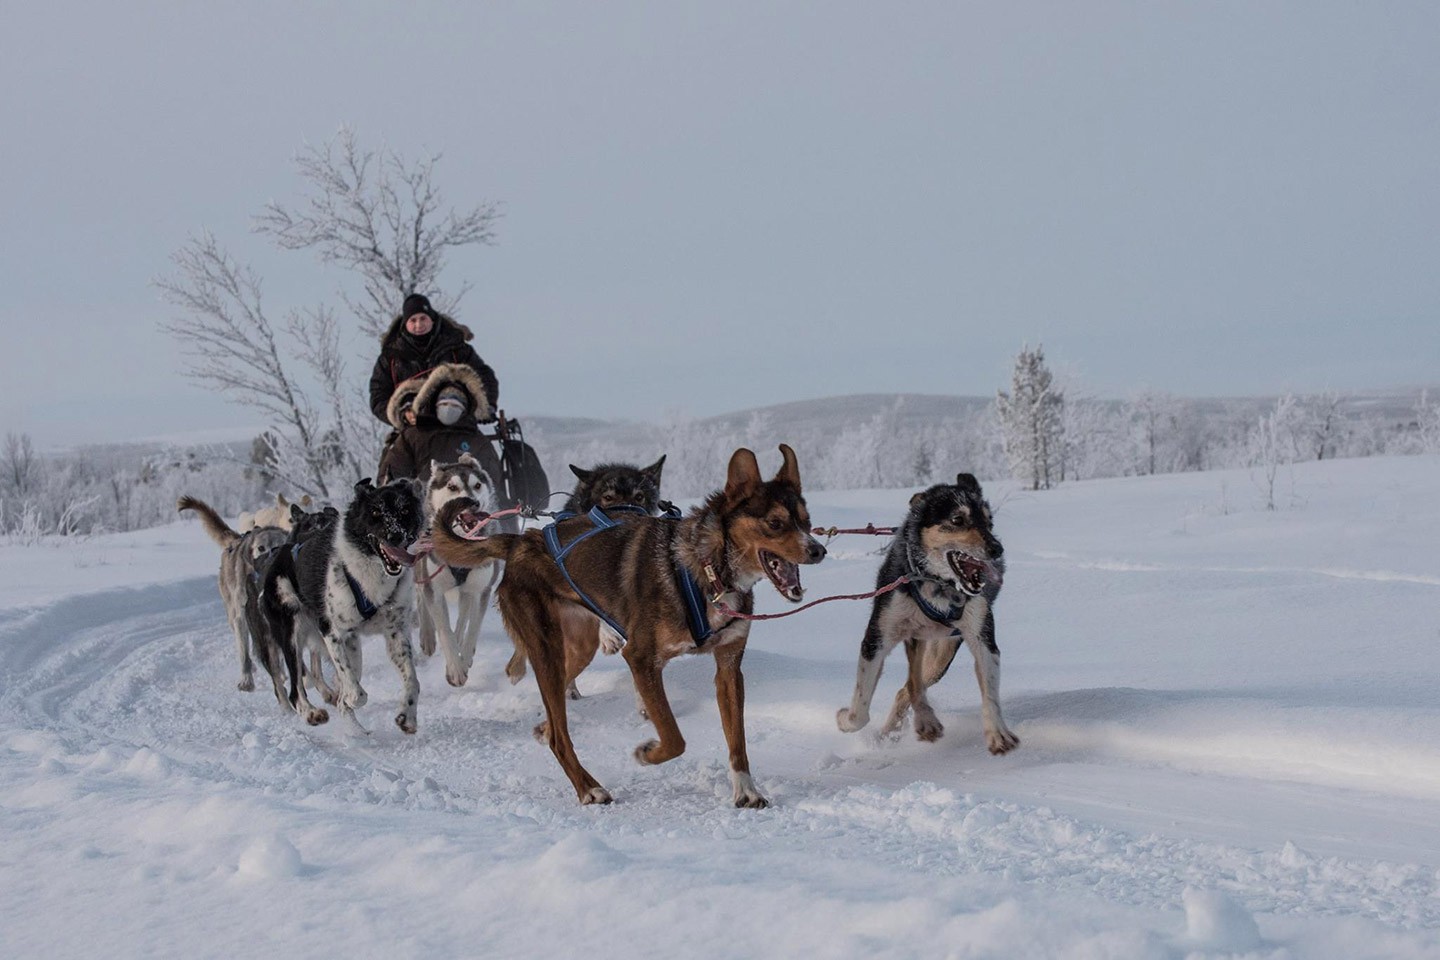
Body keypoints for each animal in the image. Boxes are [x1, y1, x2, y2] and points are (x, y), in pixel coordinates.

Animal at [414, 454, 504, 687]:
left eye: (477, 485)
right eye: (452, 487)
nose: (474, 504)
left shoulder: (480, 590)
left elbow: (472, 628)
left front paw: (464, 658)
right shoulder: (434, 588)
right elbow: (444, 631)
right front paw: (455, 669)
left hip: (467, 590)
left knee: (463, 616)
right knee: (420, 596)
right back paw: (427, 636)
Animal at [426, 446, 829, 805]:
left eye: (806, 521)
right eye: (775, 523)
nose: (818, 550)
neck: (708, 568)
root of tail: (523, 540)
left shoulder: (729, 666)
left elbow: (737, 739)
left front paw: (745, 790)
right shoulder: (640, 657)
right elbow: (673, 736)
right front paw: (648, 753)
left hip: (575, 649)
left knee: (557, 707)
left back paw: (546, 730)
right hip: (546, 650)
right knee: (561, 736)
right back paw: (588, 788)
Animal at [835, 477, 1025, 754]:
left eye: (989, 522)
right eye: (957, 519)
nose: (996, 549)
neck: (938, 583)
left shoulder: (983, 640)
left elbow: (989, 693)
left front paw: (997, 733)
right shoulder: (876, 639)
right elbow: (860, 710)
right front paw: (844, 720)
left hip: (940, 656)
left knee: (908, 688)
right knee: (911, 685)